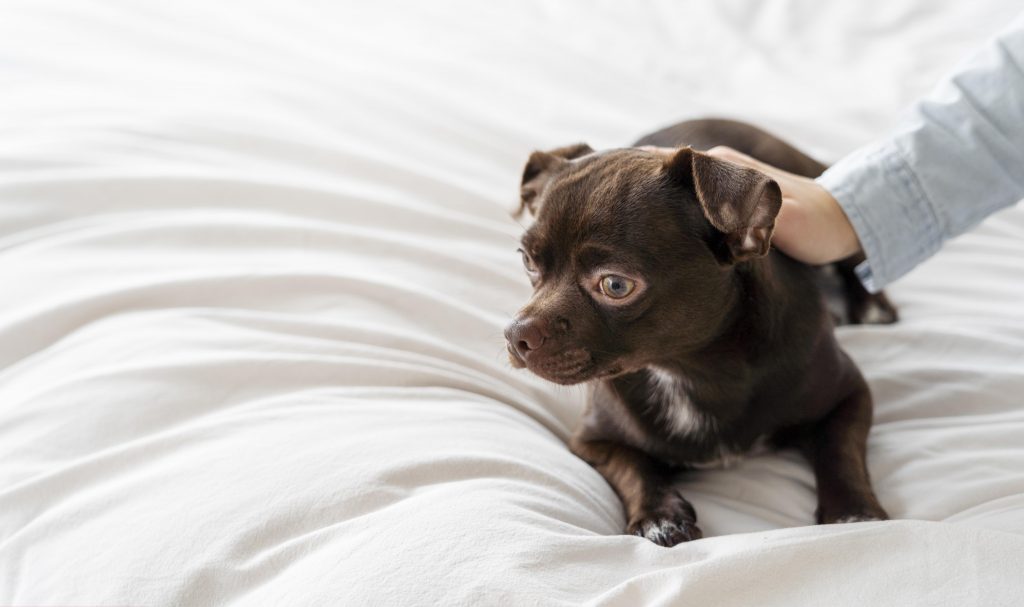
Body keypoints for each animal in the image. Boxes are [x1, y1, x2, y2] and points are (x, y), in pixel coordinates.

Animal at [507, 118, 892, 544]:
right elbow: (633, 467)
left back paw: (872, 307)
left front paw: (852, 514)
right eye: (527, 261)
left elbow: (840, 451)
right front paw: (659, 516)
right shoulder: (592, 439)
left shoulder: (849, 395)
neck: (687, 367)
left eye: (616, 285)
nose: (516, 334)